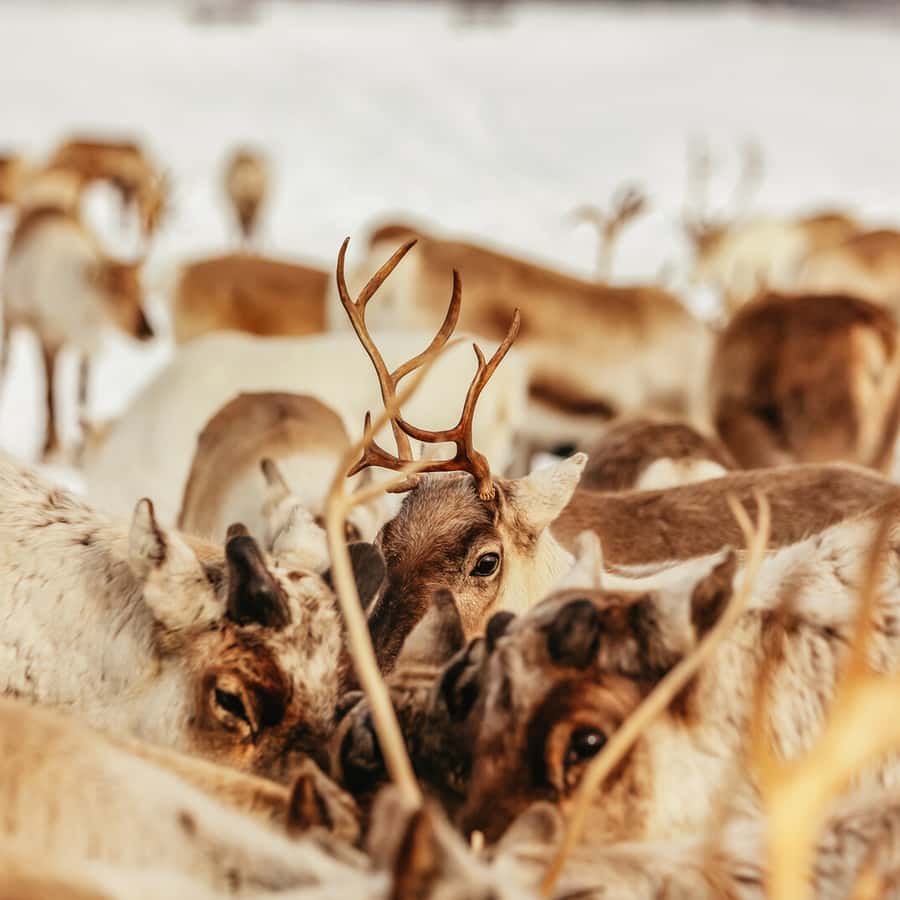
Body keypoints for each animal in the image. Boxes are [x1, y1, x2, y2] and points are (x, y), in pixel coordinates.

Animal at [1, 205, 154, 459]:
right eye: (116, 294)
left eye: (141, 291)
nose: (149, 332)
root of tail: (42, 208)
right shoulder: (48, 339)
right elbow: (51, 394)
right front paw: (49, 446)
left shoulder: (86, 347)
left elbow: (81, 395)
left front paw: (80, 436)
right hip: (12, 317)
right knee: (8, 359)